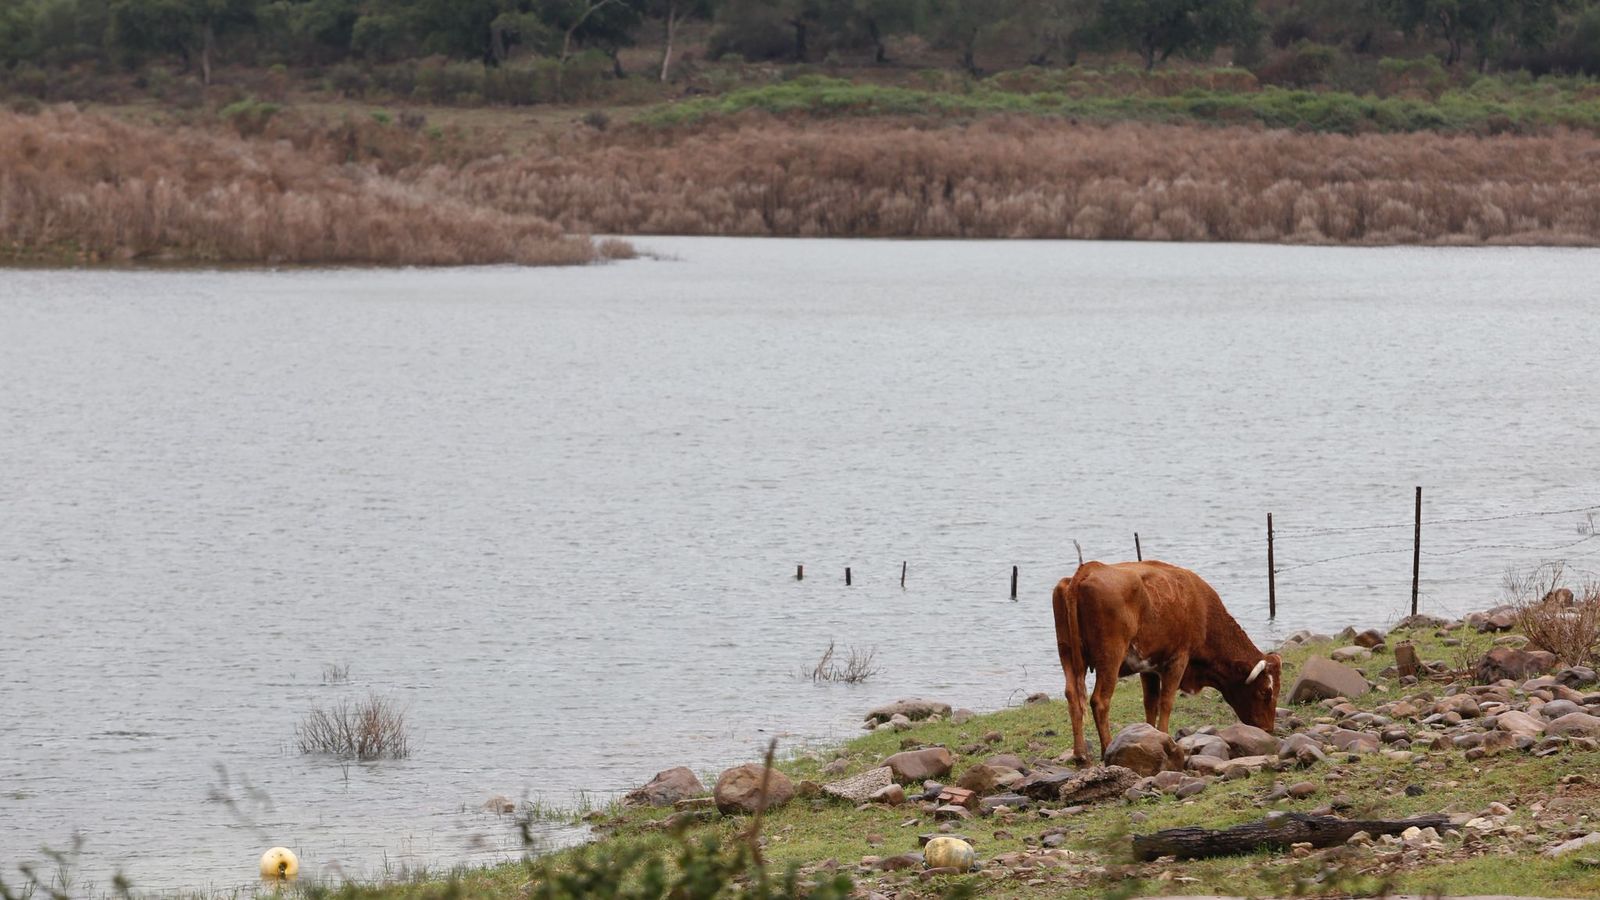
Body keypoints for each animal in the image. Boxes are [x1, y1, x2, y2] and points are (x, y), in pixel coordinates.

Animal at [1052, 560, 1281, 765]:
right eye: (1265, 692)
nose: (1268, 730)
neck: (1201, 607)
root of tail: (1087, 569)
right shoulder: (1178, 659)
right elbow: (1166, 701)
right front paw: (1165, 737)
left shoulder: (1148, 667)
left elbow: (1150, 702)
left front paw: (1150, 734)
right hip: (1110, 658)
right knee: (1100, 701)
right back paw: (1106, 747)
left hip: (1067, 655)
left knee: (1072, 696)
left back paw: (1080, 753)